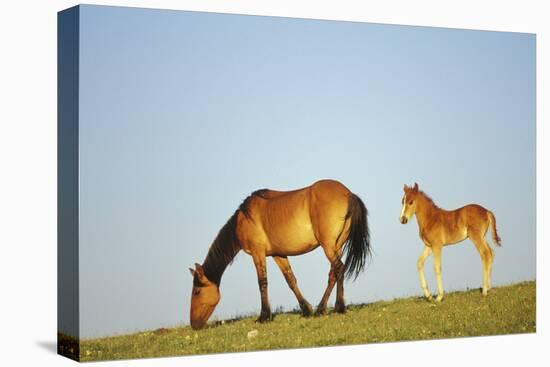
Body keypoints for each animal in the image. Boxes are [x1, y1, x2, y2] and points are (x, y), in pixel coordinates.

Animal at [188, 179, 374, 330]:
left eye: (197, 291)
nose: (194, 325)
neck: (243, 219)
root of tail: (348, 193)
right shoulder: (278, 255)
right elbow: (290, 280)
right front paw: (306, 310)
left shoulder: (258, 253)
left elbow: (262, 282)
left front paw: (263, 316)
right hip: (337, 245)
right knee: (334, 273)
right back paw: (326, 308)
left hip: (328, 245)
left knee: (339, 268)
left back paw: (333, 308)